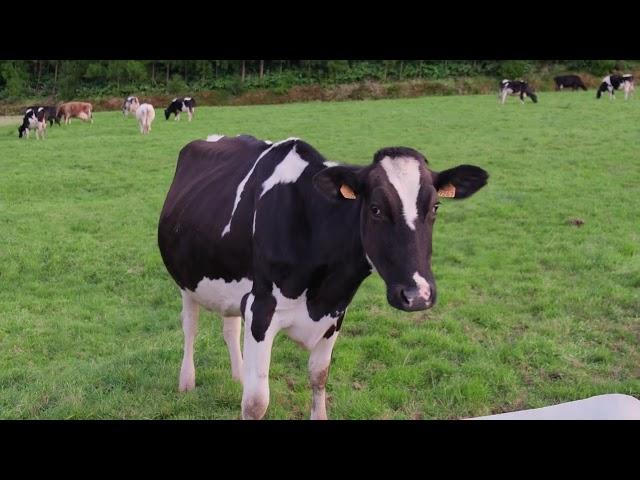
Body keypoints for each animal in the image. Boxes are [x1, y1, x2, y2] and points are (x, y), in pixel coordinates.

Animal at [158, 133, 488, 418]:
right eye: (376, 209)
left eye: (435, 207)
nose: (418, 295)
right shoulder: (260, 309)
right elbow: (255, 403)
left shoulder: (335, 313)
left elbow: (319, 377)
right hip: (186, 282)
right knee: (190, 328)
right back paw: (186, 381)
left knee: (229, 327)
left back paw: (238, 376)